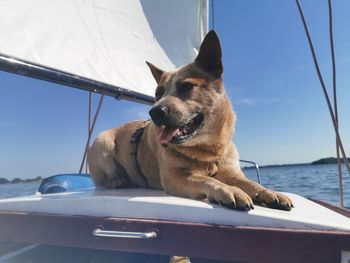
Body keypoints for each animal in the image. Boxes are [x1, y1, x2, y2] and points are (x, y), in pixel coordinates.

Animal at [87, 30, 292, 212]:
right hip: (102, 143)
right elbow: (208, 179)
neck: (207, 151)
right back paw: (119, 181)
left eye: (187, 86)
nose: (154, 112)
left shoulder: (231, 171)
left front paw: (269, 192)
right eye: (158, 93)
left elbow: (250, 182)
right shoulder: (174, 176)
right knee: (105, 180)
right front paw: (229, 190)